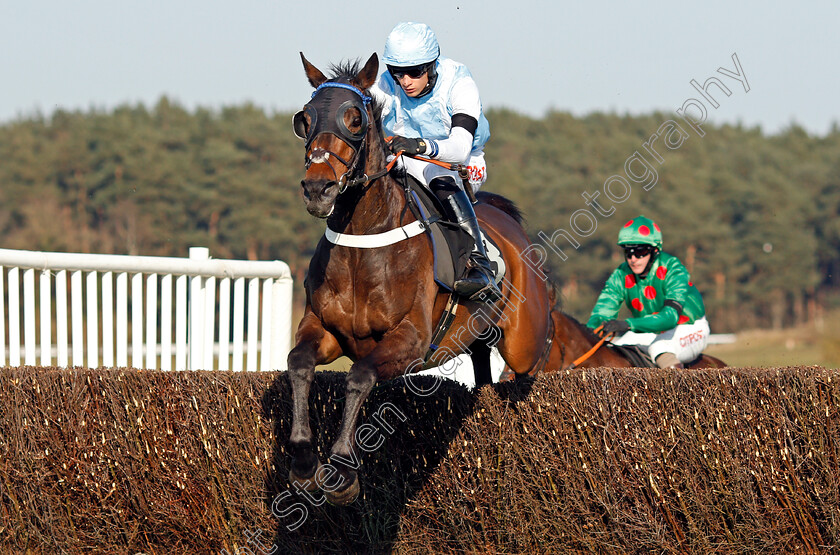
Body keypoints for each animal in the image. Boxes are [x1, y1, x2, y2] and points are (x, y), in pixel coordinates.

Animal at [286, 54, 568, 506]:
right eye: (305, 118)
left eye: (354, 119)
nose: (318, 188)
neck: (362, 242)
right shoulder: (325, 330)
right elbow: (298, 364)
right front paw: (302, 461)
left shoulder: (411, 339)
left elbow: (359, 376)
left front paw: (343, 471)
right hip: (478, 336)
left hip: (524, 340)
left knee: (532, 362)